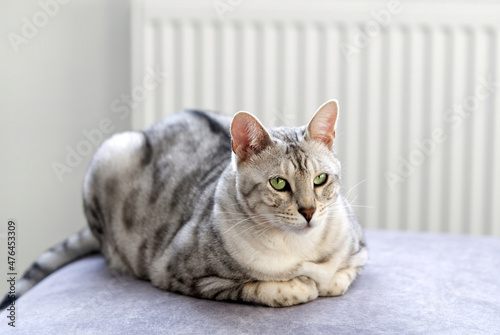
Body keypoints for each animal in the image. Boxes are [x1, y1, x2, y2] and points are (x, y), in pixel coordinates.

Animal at [0, 100, 368, 310]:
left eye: (321, 179)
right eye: (279, 183)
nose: (308, 211)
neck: (300, 248)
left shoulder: (360, 250)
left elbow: (341, 276)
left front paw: (325, 279)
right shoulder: (180, 271)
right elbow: (265, 288)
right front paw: (301, 286)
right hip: (111, 153)